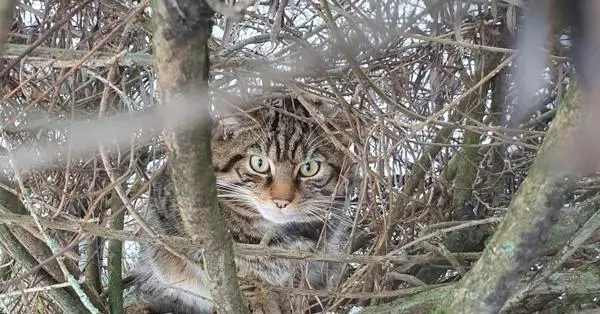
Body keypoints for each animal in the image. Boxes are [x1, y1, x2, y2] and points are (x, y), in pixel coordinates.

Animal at [132, 97, 352, 312]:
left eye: (309, 168)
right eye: (259, 163)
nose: (281, 201)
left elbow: (297, 281)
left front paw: (293, 301)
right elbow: (238, 273)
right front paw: (260, 300)